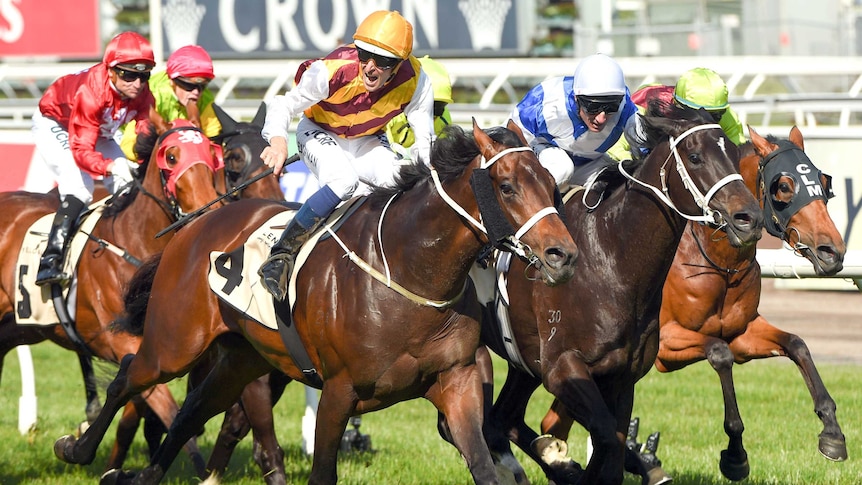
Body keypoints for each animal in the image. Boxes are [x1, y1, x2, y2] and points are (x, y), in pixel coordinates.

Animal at [0, 119, 226, 474]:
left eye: (212, 154)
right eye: (171, 157)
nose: (210, 211)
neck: (136, 241)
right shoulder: (127, 343)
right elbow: (168, 408)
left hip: (21, 327)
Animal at [54, 119, 580, 482]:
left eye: (552, 186)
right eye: (507, 187)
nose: (564, 253)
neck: (412, 272)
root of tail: (192, 226)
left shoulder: (457, 378)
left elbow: (483, 463)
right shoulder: (338, 391)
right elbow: (323, 469)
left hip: (241, 359)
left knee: (188, 414)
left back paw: (139, 474)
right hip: (173, 345)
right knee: (128, 376)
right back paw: (77, 450)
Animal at [480, 101, 764, 484]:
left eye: (734, 154)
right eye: (694, 157)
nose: (749, 218)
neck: (610, 262)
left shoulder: (623, 375)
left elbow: (611, 445)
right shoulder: (562, 366)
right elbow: (606, 439)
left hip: (522, 362)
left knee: (502, 420)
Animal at [540, 124, 852, 480]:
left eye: (824, 182)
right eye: (784, 187)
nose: (833, 250)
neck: (718, 260)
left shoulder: (742, 332)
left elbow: (797, 344)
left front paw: (832, 433)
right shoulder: (667, 344)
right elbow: (719, 353)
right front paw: (735, 454)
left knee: (553, 424)